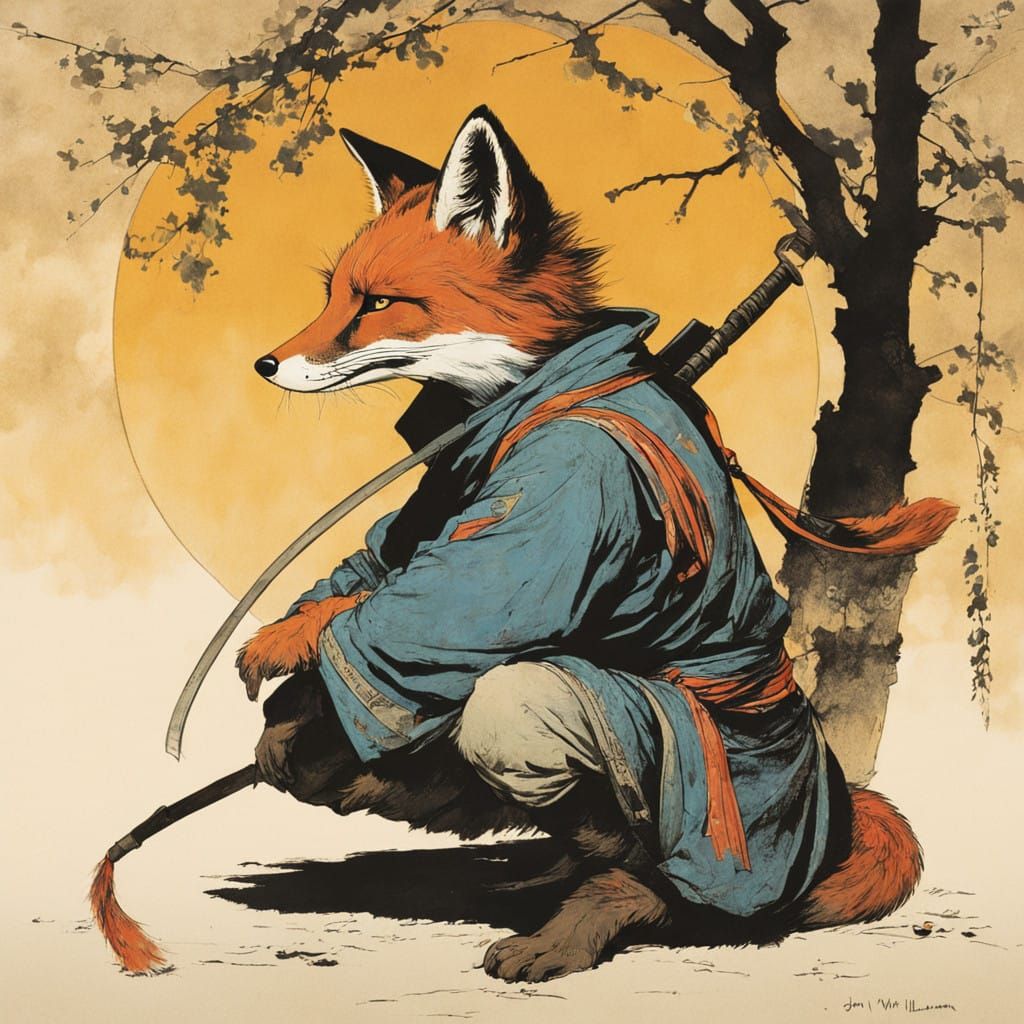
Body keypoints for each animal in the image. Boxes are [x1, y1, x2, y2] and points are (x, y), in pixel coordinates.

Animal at [237, 105, 925, 982]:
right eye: (333, 295)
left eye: (380, 302)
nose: (265, 363)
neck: (540, 391)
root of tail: (831, 813)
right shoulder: (439, 498)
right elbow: (380, 557)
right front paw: (288, 700)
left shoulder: (560, 500)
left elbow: (438, 608)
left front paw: (281, 652)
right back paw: (548, 877)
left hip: (646, 768)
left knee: (526, 720)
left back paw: (597, 914)